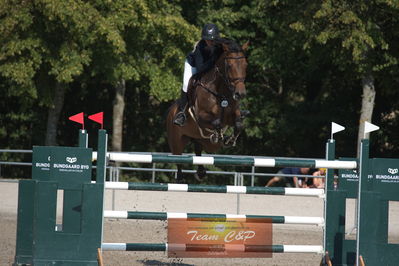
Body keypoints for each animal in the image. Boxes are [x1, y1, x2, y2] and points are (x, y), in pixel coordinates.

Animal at [166, 38, 248, 182]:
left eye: (245, 65)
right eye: (229, 66)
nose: (240, 94)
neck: (221, 93)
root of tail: (171, 111)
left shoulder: (231, 117)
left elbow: (238, 124)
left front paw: (229, 139)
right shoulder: (202, 117)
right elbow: (216, 122)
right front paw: (218, 135)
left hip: (197, 138)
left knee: (198, 150)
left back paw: (200, 172)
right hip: (176, 142)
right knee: (178, 160)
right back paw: (180, 178)